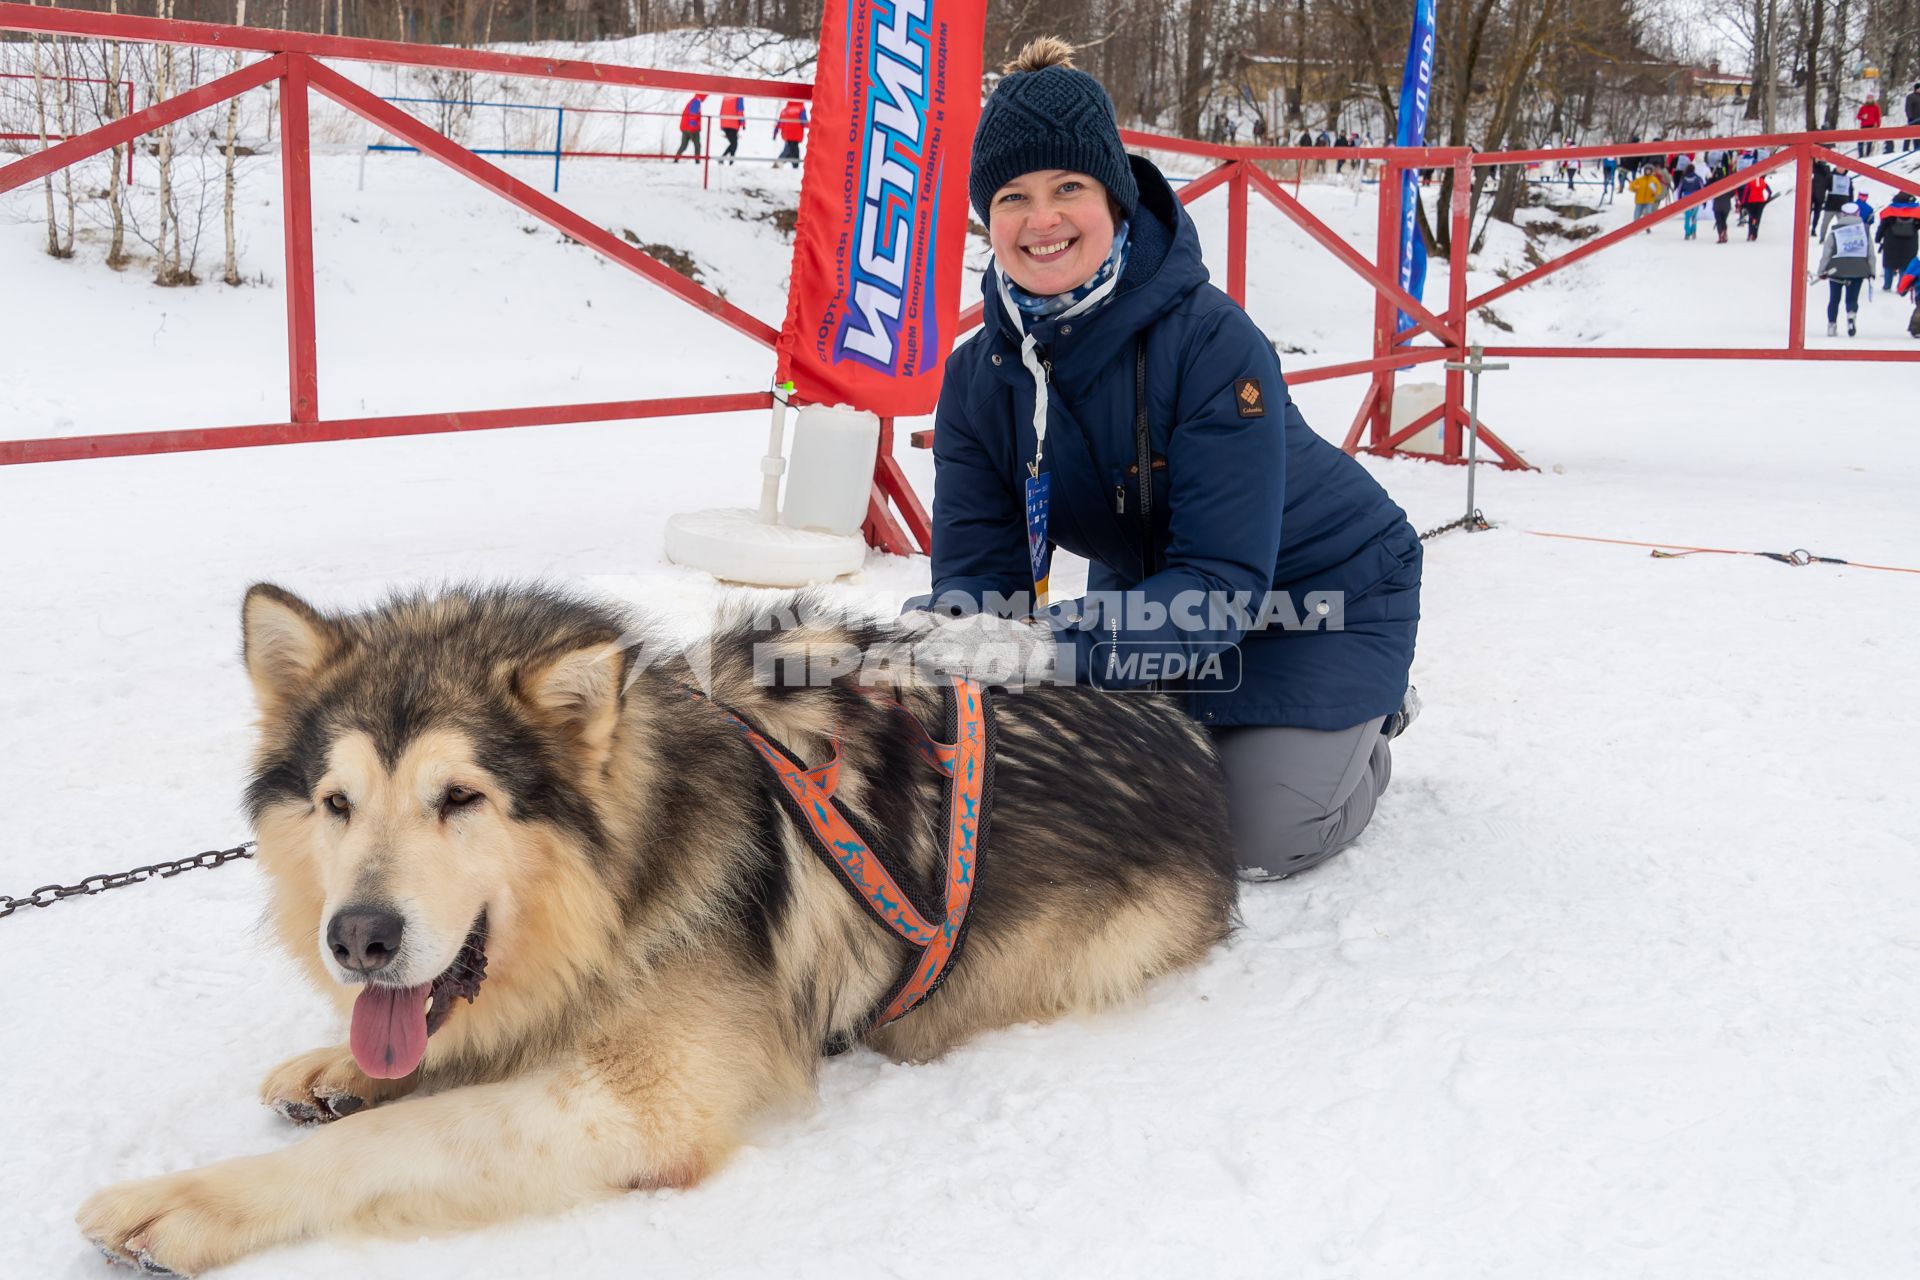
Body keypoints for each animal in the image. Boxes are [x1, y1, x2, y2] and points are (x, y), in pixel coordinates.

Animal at [78, 587, 1228, 1274]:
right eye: (336, 802)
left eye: (460, 797)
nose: (358, 938)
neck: (622, 878)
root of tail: (1185, 730)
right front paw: (337, 1066)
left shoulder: (644, 1106)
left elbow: (391, 1135)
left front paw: (191, 1197)